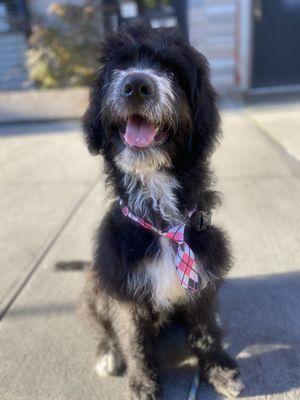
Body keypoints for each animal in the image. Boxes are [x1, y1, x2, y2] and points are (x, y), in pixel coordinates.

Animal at [82, 25, 244, 400]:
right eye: (120, 67)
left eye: (173, 72)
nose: (136, 85)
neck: (161, 220)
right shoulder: (123, 288)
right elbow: (133, 339)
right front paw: (142, 381)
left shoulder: (203, 281)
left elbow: (205, 329)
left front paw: (218, 367)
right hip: (96, 285)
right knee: (103, 326)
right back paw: (107, 353)